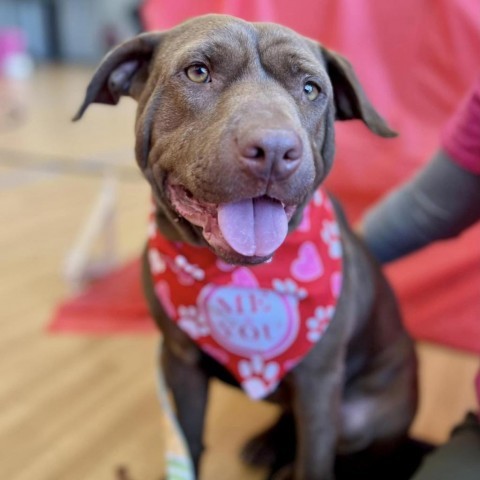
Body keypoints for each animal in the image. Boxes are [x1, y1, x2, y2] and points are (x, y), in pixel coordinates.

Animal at [75, 15, 416, 480]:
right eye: (198, 72)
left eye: (311, 88)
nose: (274, 149)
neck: (240, 275)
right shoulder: (180, 364)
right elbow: (189, 443)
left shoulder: (318, 382)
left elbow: (314, 460)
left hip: (358, 415)